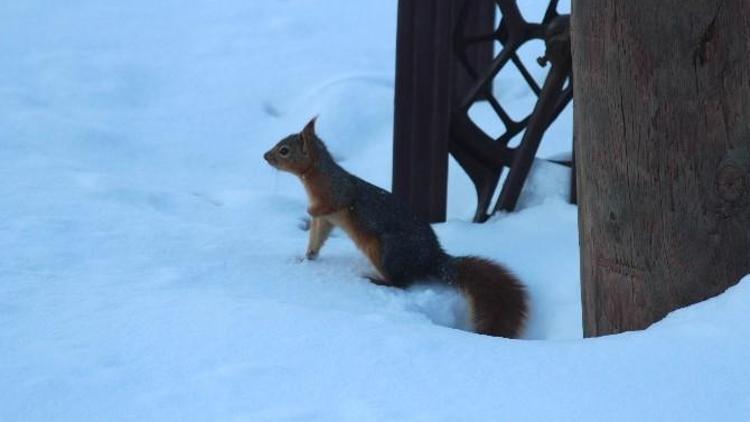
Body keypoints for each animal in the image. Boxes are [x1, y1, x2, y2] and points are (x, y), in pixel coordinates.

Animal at [264, 117, 528, 338]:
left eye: (284, 150)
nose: (265, 156)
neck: (315, 176)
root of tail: (432, 258)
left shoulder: (339, 192)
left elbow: (337, 203)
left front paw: (309, 215)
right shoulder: (327, 220)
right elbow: (317, 238)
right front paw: (305, 258)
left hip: (386, 251)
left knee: (403, 282)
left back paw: (377, 281)